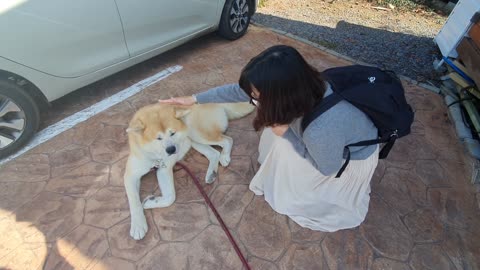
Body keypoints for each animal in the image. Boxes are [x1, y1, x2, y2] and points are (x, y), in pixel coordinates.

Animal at [123, 101, 255, 238]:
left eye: (172, 133)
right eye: (158, 138)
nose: (171, 150)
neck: (154, 156)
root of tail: (213, 103)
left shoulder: (165, 169)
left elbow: (171, 197)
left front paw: (149, 203)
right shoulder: (132, 175)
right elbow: (135, 201)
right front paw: (138, 224)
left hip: (196, 132)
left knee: (227, 140)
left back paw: (224, 156)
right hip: (194, 141)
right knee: (214, 153)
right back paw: (211, 173)